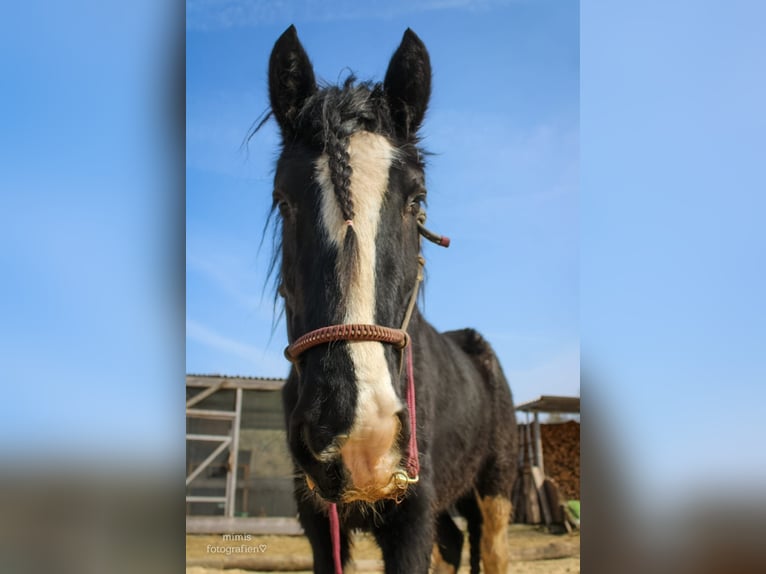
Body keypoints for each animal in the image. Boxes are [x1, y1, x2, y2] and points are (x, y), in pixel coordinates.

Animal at [265, 25, 519, 573]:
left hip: (495, 487)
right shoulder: (318, 523)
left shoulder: (411, 521)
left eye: (416, 201)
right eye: (283, 201)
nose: (362, 436)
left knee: (490, 547)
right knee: (454, 543)